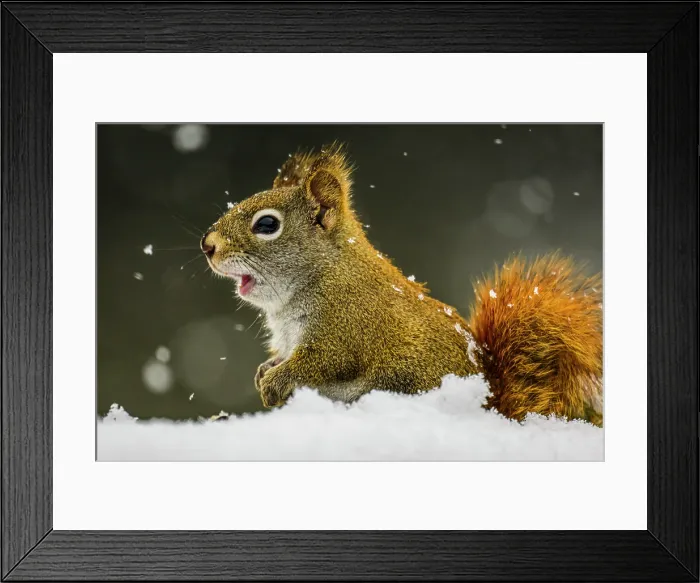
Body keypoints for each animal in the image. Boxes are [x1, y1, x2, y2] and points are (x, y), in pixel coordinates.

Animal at [201, 143, 603, 426]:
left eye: (267, 225)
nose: (207, 245)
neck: (324, 272)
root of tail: (490, 402)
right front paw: (264, 371)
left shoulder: (346, 329)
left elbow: (320, 364)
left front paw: (274, 382)